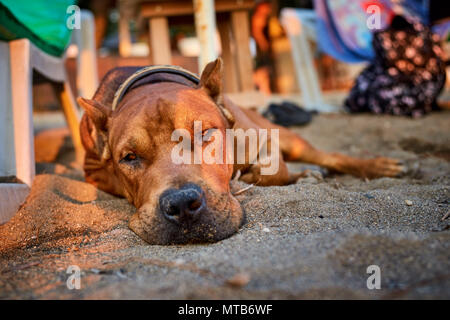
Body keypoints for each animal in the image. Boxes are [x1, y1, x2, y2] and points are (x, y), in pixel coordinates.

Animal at [75, 58, 402, 244]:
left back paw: (375, 166)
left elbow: (276, 170)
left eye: (204, 134)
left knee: (324, 155)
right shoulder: (92, 170)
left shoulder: (261, 138)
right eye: (129, 157)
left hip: (286, 135)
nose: (181, 204)